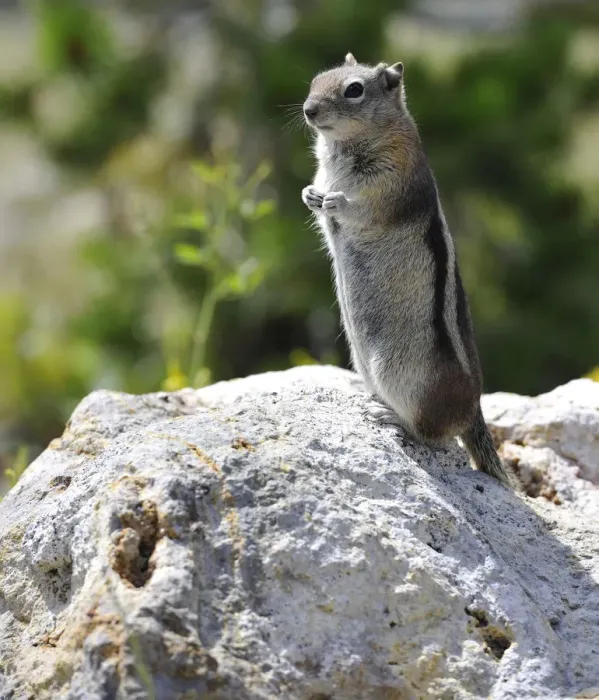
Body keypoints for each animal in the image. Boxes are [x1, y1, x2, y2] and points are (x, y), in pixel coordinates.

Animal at [301, 53, 511, 486]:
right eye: (316, 80)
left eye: (354, 90)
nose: (308, 110)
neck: (342, 148)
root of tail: (472, 410)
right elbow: (317, 199)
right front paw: (311, 194)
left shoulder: (392, 185)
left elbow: (362, 209)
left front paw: (336, 201)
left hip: (403, 377)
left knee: (430, 434)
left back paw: (391, 416)